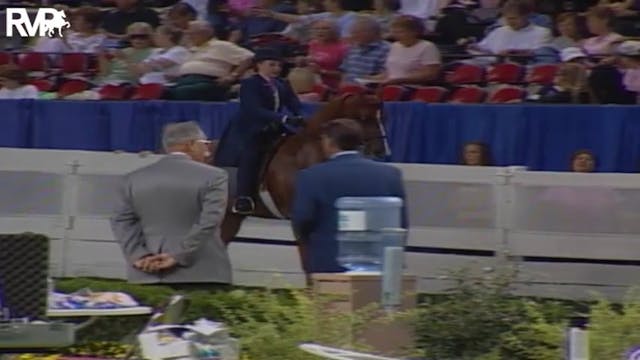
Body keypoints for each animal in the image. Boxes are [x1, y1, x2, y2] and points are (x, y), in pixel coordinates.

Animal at [212, 94, 388, 278]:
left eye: (383, 118)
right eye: (364, 118)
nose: (381, 152)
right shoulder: (299, 221)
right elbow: (308, 263)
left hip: (231, 217)